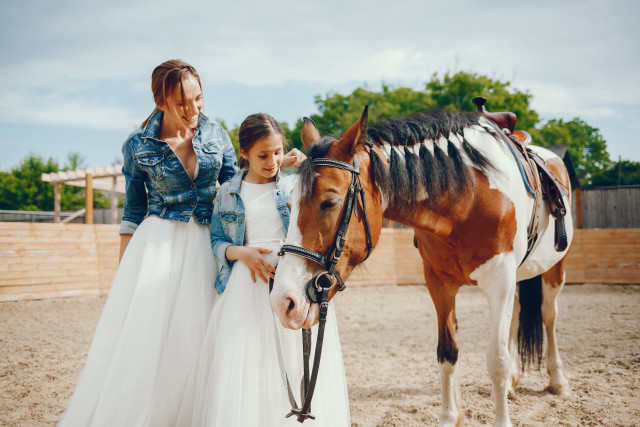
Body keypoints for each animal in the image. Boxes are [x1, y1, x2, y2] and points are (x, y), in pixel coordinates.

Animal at [270, 105, 573, 426]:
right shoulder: (439, 283)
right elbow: (447, 354)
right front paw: (449, 417)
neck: (468, 197)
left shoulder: (499, 280)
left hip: (554, 270)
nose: (283, 301)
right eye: (290, 203)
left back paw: (558, 381)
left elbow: (496, 361)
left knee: (549, 314)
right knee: (515, 316)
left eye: (329, 202)